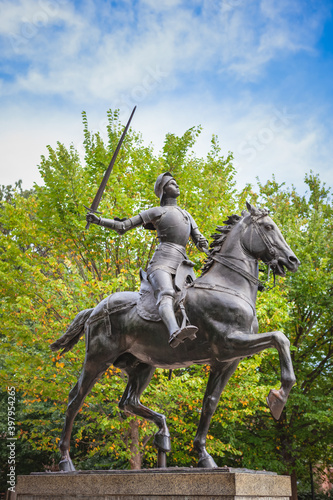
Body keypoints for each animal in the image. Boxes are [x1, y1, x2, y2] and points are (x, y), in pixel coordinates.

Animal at [51, 201, 298, 470]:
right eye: (268, 227)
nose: (292, 260)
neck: (227, 285)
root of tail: (95, 309)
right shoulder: (230, 343)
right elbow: (279, 337)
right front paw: (278, 397)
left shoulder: (226, 361)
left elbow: (210, 402)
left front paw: (203, 455)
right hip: (97, 359)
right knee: (75, 400)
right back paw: (65, 461)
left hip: (142, 365)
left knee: (128, 402)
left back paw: (163, 432)